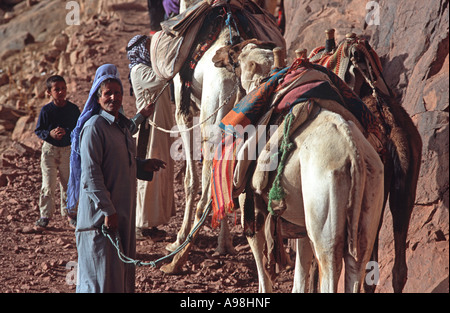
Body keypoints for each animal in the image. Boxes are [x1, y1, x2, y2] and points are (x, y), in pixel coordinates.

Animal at [216, 40, 384, 290]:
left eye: (235, 56)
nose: (216, 55)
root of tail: (354, 155)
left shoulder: (251, 205)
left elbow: (262, 269)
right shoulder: (303, 227)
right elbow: (301, 277)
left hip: (326, 210)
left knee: (330, 265)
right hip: (368, 203)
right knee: (357, 263)